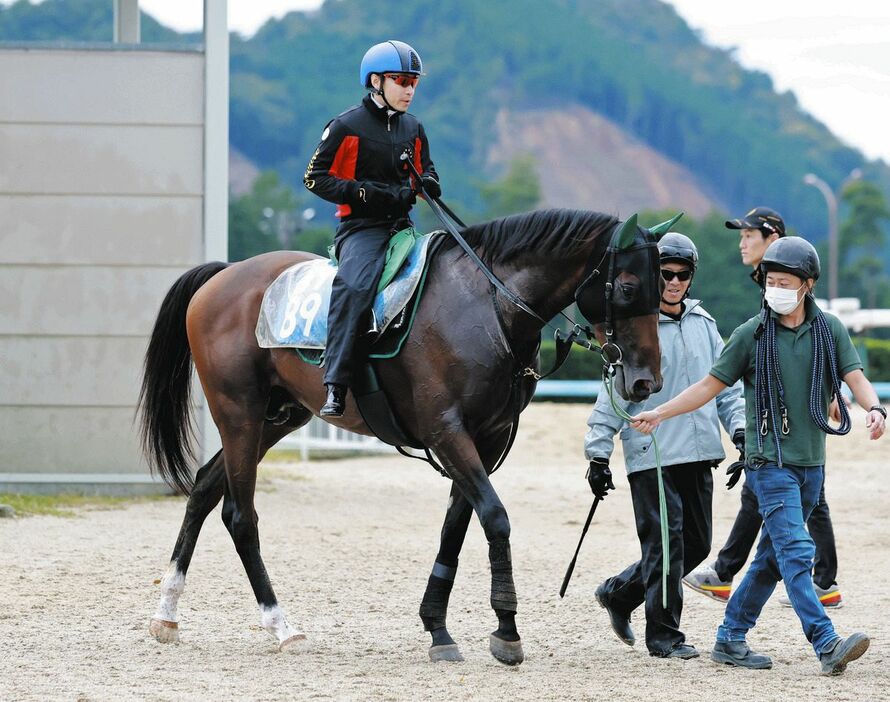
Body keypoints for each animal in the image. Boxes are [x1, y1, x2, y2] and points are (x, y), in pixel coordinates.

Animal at [139, 208, 664, 664]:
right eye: (628, 287)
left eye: (664, 286)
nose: (646, 382)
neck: (486, 303)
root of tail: (225, 275)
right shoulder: (447, 432)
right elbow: (495, 518)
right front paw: (507, 629)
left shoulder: (485, 439)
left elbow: (455, 529)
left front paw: (438, 628)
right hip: (240, 415)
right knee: (240, 516)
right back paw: (281, 625)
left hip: (278, 418)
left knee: (205, 489)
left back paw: (167, 613)